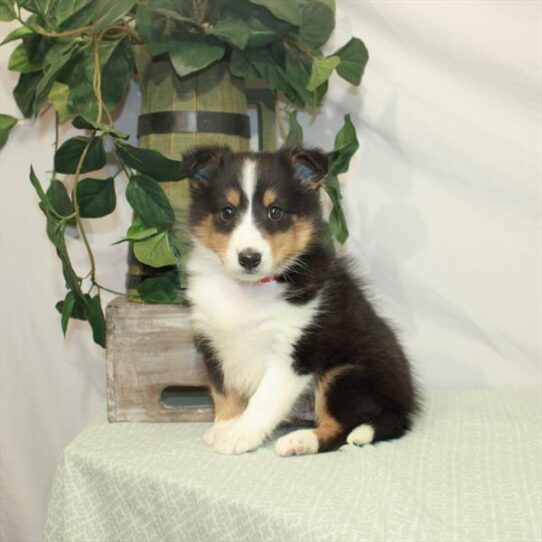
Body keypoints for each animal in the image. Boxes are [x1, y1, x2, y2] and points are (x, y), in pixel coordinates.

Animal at [185, 147, 418, 456]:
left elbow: (263, 400)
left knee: (342, 428)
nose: (249, 258)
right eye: (227, 211)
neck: (248, 290)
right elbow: (223, 391)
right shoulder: (212, 342)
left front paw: (239, 436)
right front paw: (225, 426)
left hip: (345, 373)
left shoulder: (295, 353)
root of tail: (404, 409)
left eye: (275, 211)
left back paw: (300, 441)